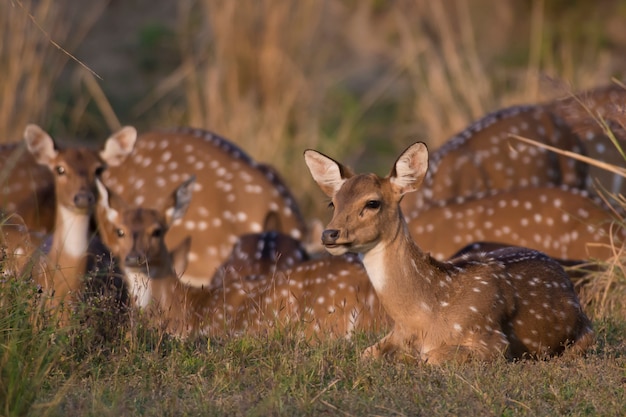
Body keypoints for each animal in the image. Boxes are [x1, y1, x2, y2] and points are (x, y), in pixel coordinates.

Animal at [304, 141, 592, 362]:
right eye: (333, 203)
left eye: (372, 202)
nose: (329, 234)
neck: (423, 316)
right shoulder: (395, 333)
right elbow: (365, 354)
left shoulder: (493, 340)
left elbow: (431, 358)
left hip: (586, 333)